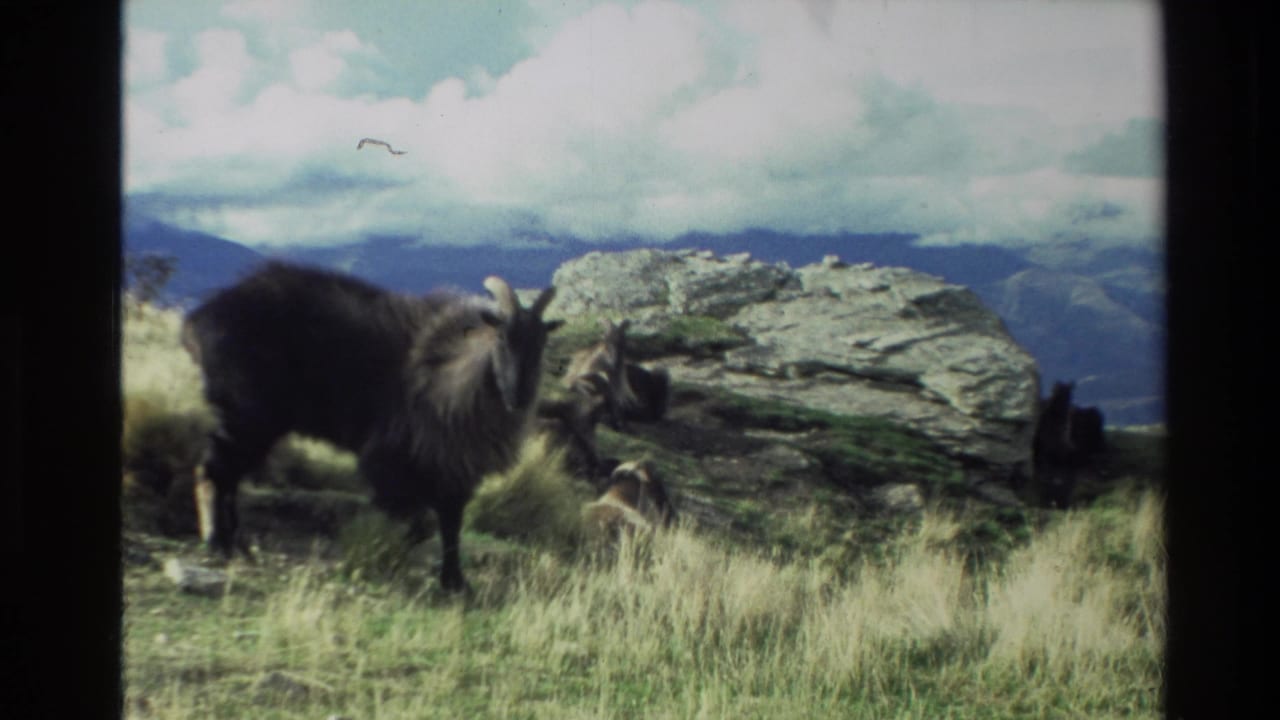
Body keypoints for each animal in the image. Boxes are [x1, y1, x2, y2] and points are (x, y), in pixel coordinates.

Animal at [181, 261, 561, 591]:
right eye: (501, 338)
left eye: (541, 342)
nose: (518, 396)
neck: (455, 374)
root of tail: (197, 322)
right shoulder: (392, 463)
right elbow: (412, 522)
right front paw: (383, 555)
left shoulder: (453, 472)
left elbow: (449, 526)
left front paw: (454, 582)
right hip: (245, 416)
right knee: (213, 471)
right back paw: (216, 542)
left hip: (253, 425)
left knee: (228, 476)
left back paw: (235, 544)